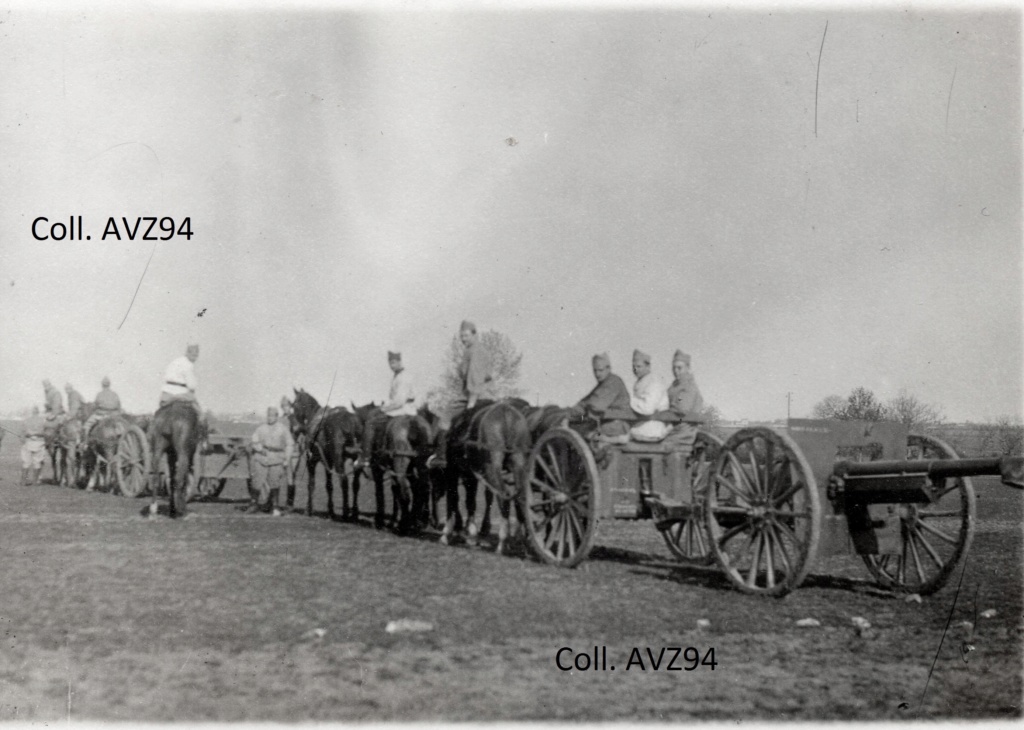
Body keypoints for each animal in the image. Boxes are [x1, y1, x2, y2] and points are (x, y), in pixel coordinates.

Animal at [440, 399, 532, 552]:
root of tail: (506, 412)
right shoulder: (470, 474)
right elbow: (470, 501)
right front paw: (471, 534)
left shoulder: (453, 470)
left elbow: (453, 498)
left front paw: (447, 534)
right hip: (517, 462)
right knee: (520, 497)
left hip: (491, 468)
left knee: (503, 496)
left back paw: (502, 542)